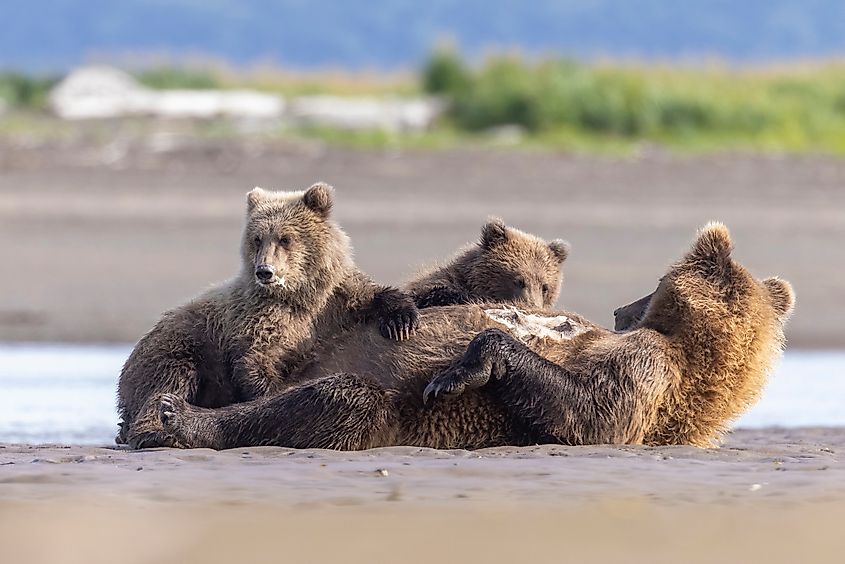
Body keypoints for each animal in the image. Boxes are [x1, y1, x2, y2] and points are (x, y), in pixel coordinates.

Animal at [117, 182, 419, 449]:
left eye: (286, 238)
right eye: (257, 238)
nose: (265, 271)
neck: (298, 296)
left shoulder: (333, 301)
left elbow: (370, 294)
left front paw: (402, 319)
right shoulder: (261, 319)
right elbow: (256, 363)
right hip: (179, 346)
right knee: (166, 382)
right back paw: (154, 432)